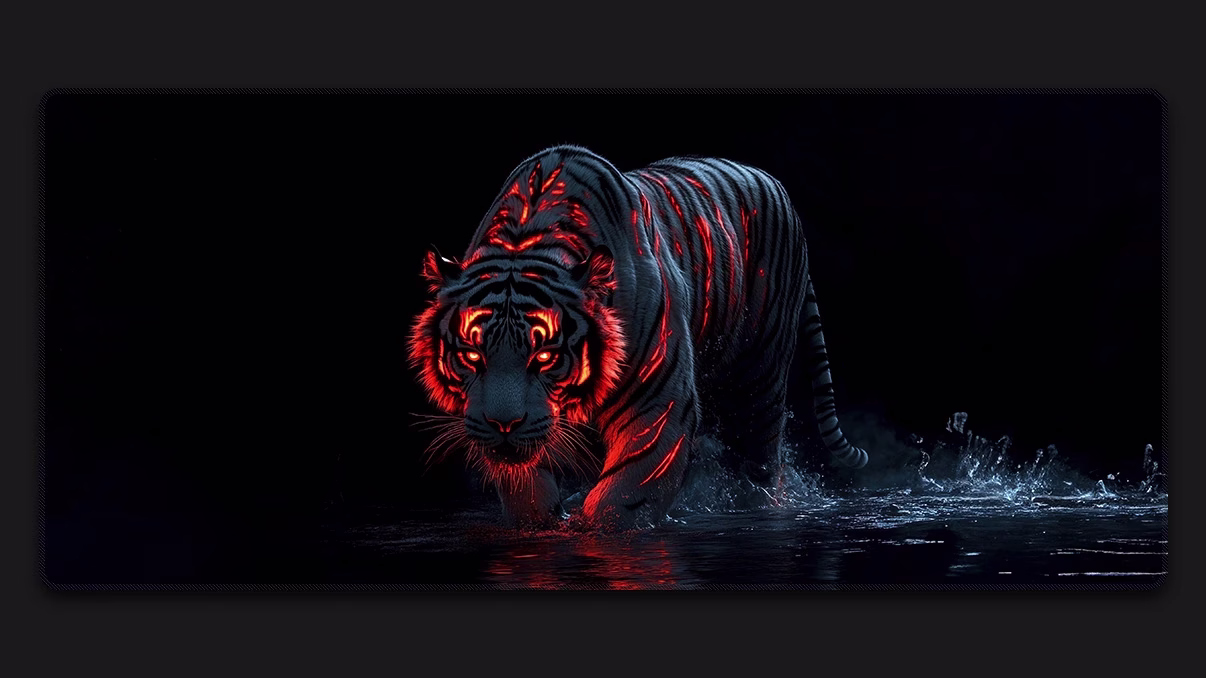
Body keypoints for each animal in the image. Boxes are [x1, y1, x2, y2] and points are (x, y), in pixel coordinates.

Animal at [409, 145, 868, 531]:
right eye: (472, 356)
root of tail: (775, 184)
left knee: (758, 462)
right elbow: (526, 489)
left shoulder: (658, 402)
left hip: (759, 379)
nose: (503, 424)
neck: (528, 243)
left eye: (544, 357)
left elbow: (626, 494)